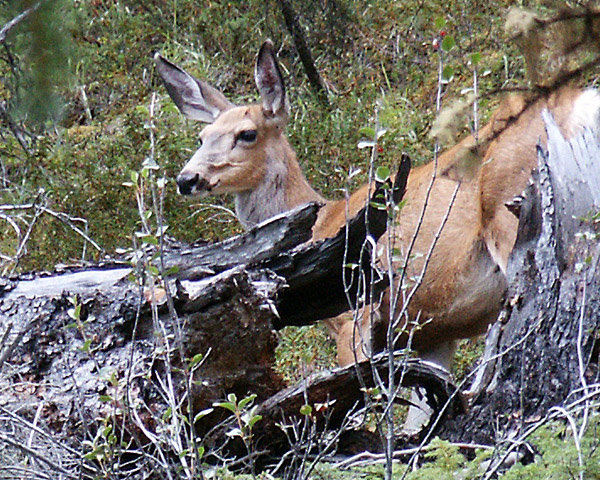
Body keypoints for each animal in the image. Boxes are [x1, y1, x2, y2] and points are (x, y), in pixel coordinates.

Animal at [156, 40, 600, 432]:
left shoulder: (354, 311)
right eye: (202, 137)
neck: (322, 219)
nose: (187, 179)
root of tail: (580, 103)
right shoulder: (432, 330)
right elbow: (422, 409)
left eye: (247, 133)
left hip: (520, 216)